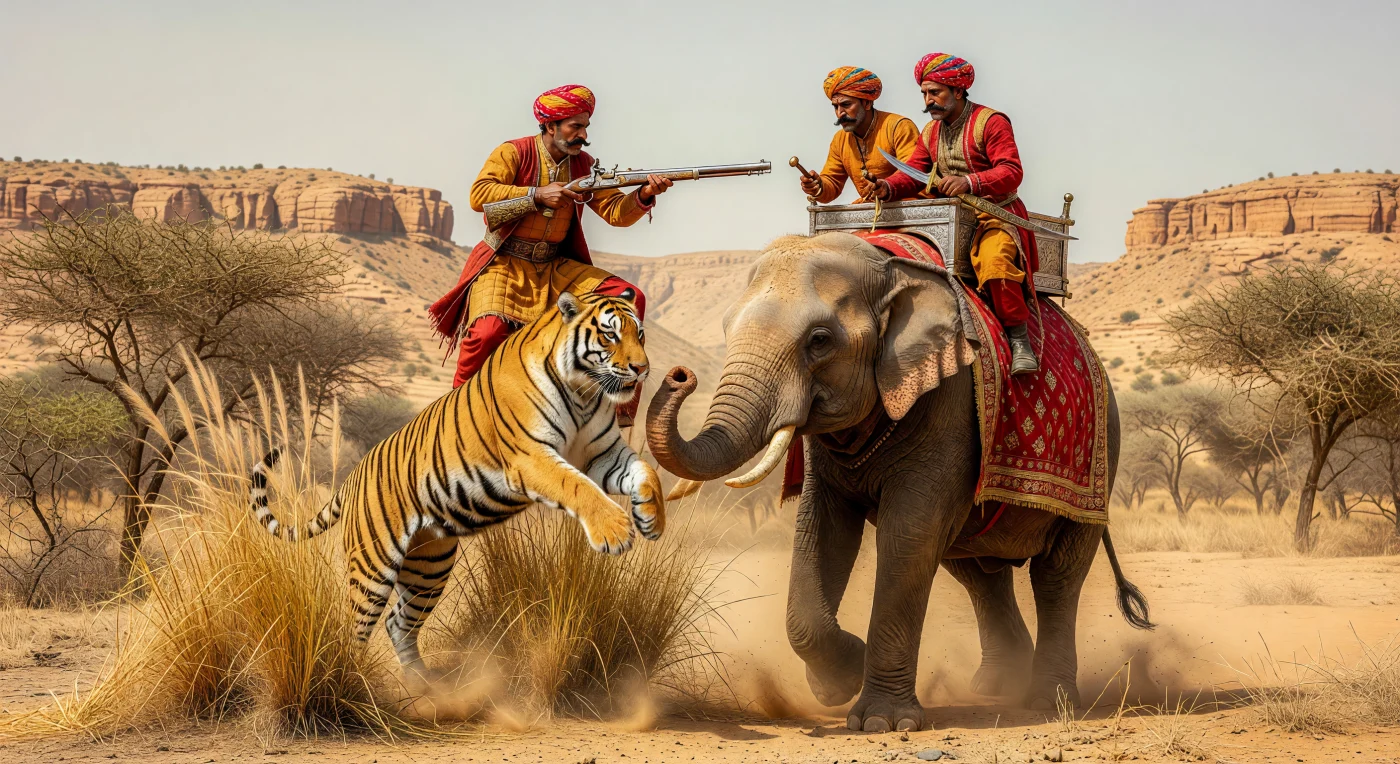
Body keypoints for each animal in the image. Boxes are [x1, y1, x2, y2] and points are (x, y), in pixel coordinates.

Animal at [247, 289, 664, 672]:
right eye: (610, 335)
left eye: (641, 334)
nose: (642, 369)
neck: (583, 392)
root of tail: (351, 479)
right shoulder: (531, 457)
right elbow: (577, 486)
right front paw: (615, 531)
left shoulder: (602, 454)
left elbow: (646, 473)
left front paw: (651, 520)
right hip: (373, 566)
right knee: (355, 630)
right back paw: (356, 684)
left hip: (429, 566)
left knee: (399, 624)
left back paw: (425, 689)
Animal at [645, 232, 1152, 733]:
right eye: (726, 328)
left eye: (820, 340)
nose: (679, 375)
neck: (887, 272)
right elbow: (821, 531)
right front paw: (839, 682)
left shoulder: (949, 400)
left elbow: (908, 536)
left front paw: (882, 721)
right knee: (976, 573)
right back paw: (996, 687)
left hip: (1100, 455)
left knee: (1056, 575)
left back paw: (1049, 701)